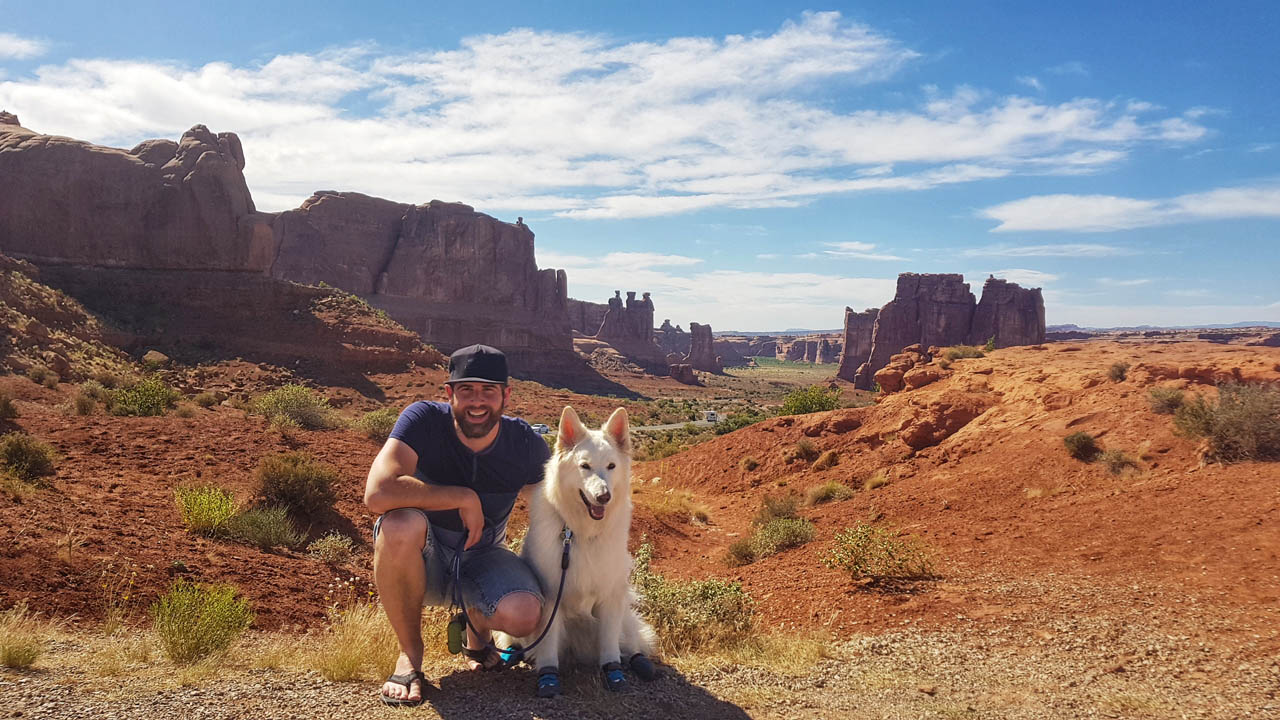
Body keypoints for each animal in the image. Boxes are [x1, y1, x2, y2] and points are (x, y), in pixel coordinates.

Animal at [496, 407, 660, 691]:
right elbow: (548, 646)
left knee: (629, 643)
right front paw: (548, 675)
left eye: (611, 466)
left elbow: (609, 645)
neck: (582, 533)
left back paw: (640, 662)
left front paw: (614, 672)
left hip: (625, 619)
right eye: (585, 466)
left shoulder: (611, 596)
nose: (604, 497)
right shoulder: (550, 597)